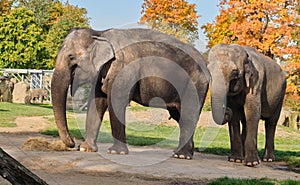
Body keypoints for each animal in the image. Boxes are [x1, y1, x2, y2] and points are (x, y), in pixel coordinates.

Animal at [51, 27, 211, 159]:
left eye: (71, 57)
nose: (73, 143)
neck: (100, 33)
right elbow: (97, 101)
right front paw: (86, 149)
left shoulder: (123, 67)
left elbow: (116, 101)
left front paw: (115, 152)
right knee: (181, 117)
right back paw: (182, 153)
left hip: (195, 84)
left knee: (188, 114)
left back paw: (181, 155)